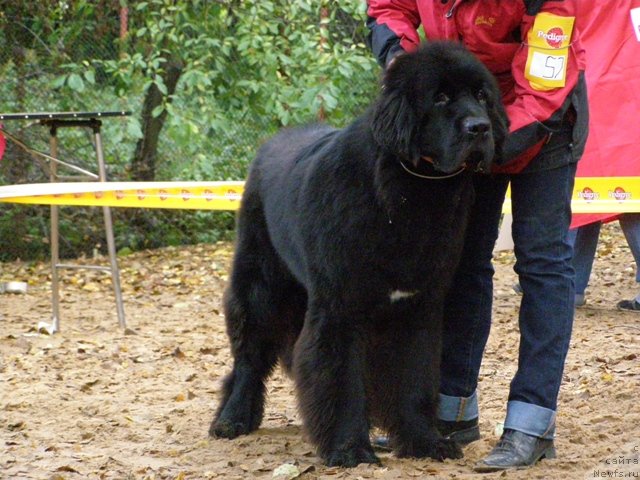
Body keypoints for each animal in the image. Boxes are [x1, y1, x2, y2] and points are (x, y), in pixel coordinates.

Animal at [212, 41, 508, 464]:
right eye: (440, 98)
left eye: (482, 96)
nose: (480, 127)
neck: (414, 193)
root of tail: (271, 144)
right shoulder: (340, 306)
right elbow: (341, 380)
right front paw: (349, 448)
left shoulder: (418, 305)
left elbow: (414, 378)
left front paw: (424, 442)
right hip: (261, 285)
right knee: (249, 355)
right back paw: (232, 419)